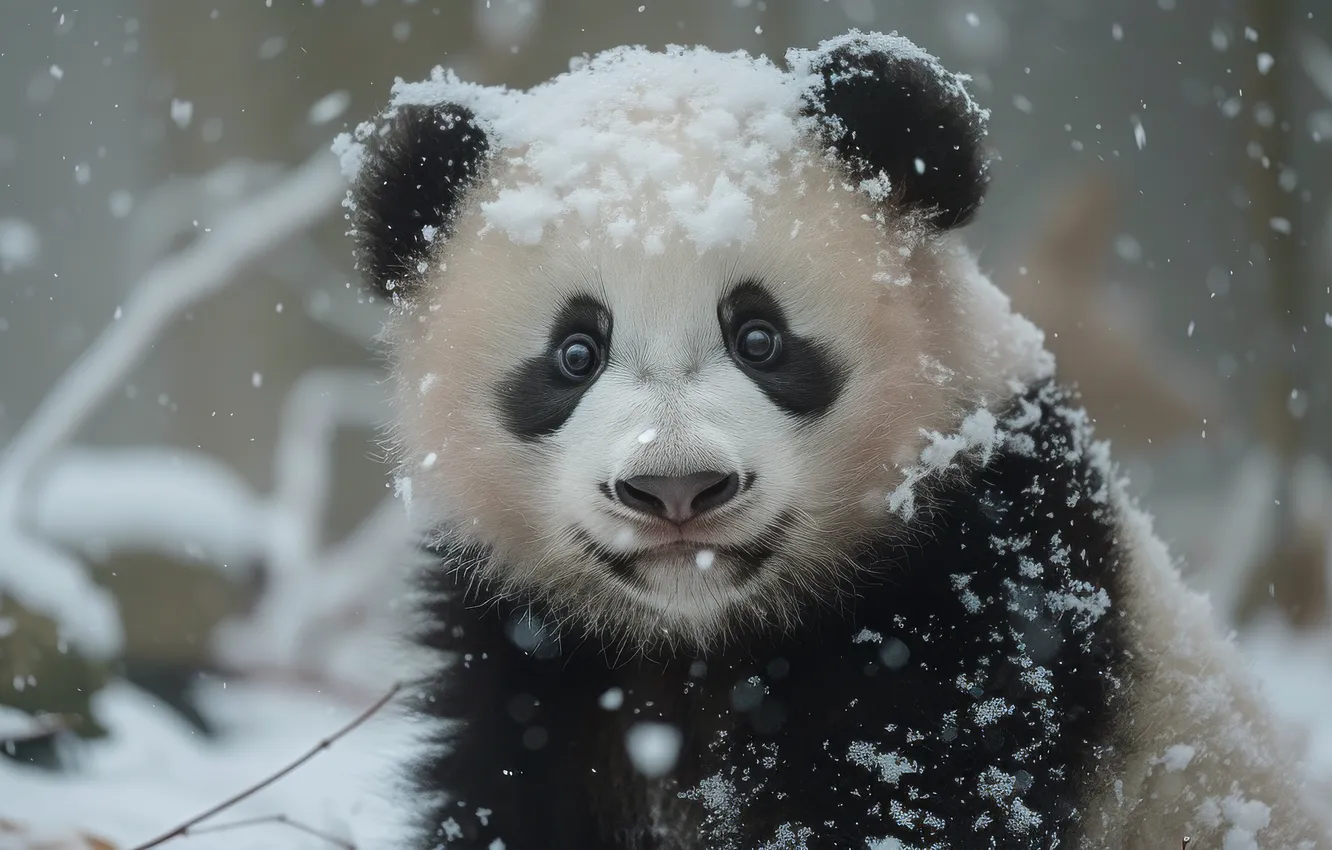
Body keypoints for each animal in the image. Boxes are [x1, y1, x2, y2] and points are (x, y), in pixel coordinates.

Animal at [336, 30, 1331, 850]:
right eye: (576, 354)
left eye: (761, 338)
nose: (676, 489)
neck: (701, 634)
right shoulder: (533, 651)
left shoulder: (980, 595)